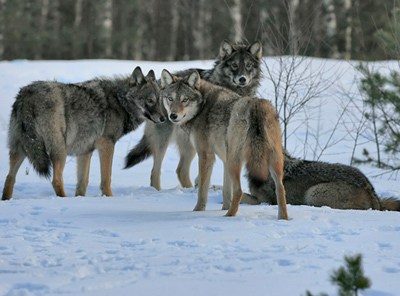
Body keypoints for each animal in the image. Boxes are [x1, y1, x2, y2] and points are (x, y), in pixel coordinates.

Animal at [1, 66, 164, 201]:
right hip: (59, 150)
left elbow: (82, 182)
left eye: (160, 101)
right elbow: (106, 178)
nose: (163, 118)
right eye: (150, 100)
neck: (119, 102)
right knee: (56, 180)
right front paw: (108, 198)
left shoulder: (85, 151)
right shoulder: (107, 144)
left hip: (21, 149)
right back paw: (64, 200)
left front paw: (80, 200)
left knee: (9, 178)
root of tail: (27, 95)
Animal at [125, 40, 262, 190]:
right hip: (165, 140)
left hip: (189, 143)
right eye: (234, 65)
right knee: (155, 172)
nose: (242, 79)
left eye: (248, 65)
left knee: (181, 170)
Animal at [159, 69, 288, 220]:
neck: (203, 105)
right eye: (170, 98)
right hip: (272, 161)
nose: (173, 116)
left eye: (185, 100)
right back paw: (283, 218)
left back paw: (229, 217)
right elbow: (226, 193)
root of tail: (255, 105)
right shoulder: (225, 160)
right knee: (281, 189)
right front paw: (223, 208)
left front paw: (198, 211)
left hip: (235, 161)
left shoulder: (206, 155)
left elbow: (202, 190)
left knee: (239, 190)